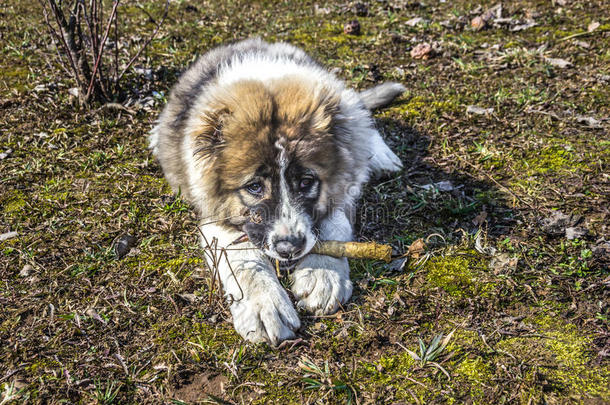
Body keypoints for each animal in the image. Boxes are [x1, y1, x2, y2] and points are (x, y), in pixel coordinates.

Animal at [149, 38, 402, 344]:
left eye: (306, 182)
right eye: (254, 187)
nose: (288, 248)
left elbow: (335, 225)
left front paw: (323, 275)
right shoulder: (215, 217)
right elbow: (244, 257)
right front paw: (265, 306)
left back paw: (381, 155)